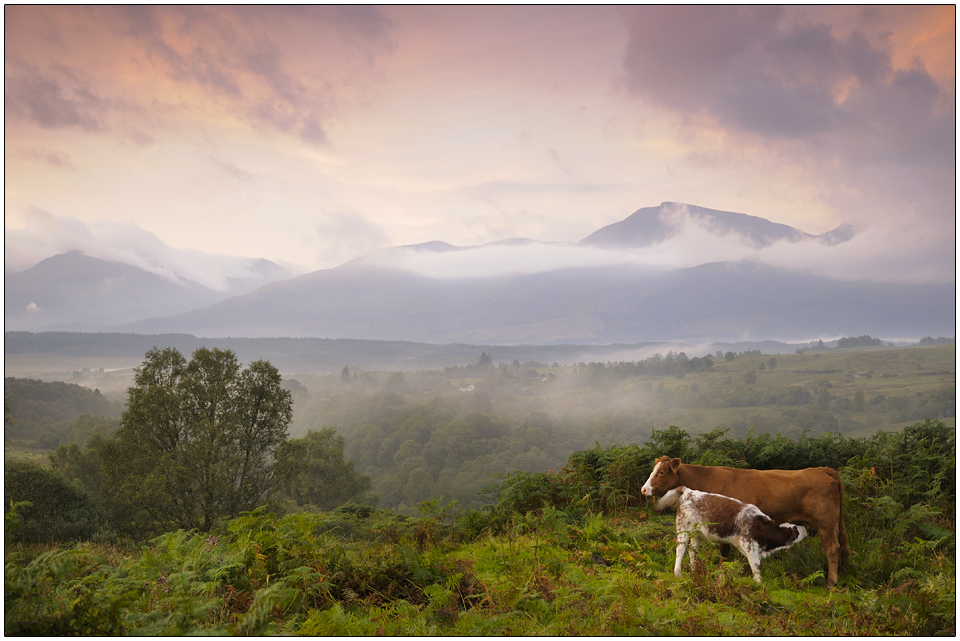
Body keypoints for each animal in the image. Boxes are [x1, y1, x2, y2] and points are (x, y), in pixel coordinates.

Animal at [656, 488, 808, 584]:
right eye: (795, 530)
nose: (805, 528)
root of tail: (688, 490)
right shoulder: (750, 547)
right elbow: (756, 566)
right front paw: (759, 584)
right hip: (683, 528)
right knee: (680, 549)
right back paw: (678, 573)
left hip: (696, 533)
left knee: (693, 551)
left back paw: (694, 570)